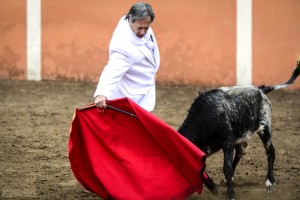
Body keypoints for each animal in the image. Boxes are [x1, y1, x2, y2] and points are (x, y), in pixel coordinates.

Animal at [178, 61, 300, 200]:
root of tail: (260, 90)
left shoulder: (227, 142)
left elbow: (227, 167)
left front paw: (230, 194)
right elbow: (204, 170)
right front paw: (214, 188)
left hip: (265, 129)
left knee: (270, 151)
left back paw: (270, 181)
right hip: (241, 135)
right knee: (241, 152)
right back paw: (229, 179)